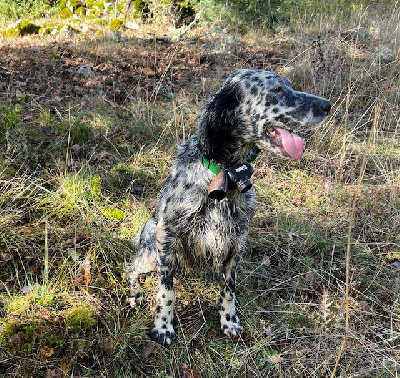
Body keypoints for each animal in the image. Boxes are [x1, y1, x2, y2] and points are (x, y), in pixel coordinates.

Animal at [126, 68, 332, 346]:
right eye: (277, 90)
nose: (327, 105)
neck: (224, 173)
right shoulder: (167, 235)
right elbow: (166, 292)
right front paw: (163, 326)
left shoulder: (236, 241)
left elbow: (229, 288)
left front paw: (229, 320)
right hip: (150, 249)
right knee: (131, 268)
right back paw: (134, 294)